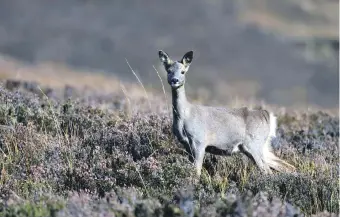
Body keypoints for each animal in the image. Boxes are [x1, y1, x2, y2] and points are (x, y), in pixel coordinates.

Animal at [158, 50, 294, 176]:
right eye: (168, 70)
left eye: (183, 72)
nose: (175, 80)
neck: (185, 116)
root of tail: (268, 116)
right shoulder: (186, 145)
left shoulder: (199, 141)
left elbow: (196, 171)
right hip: (261, 146)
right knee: (285, 166)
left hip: (254, 144)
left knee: (267, 170)